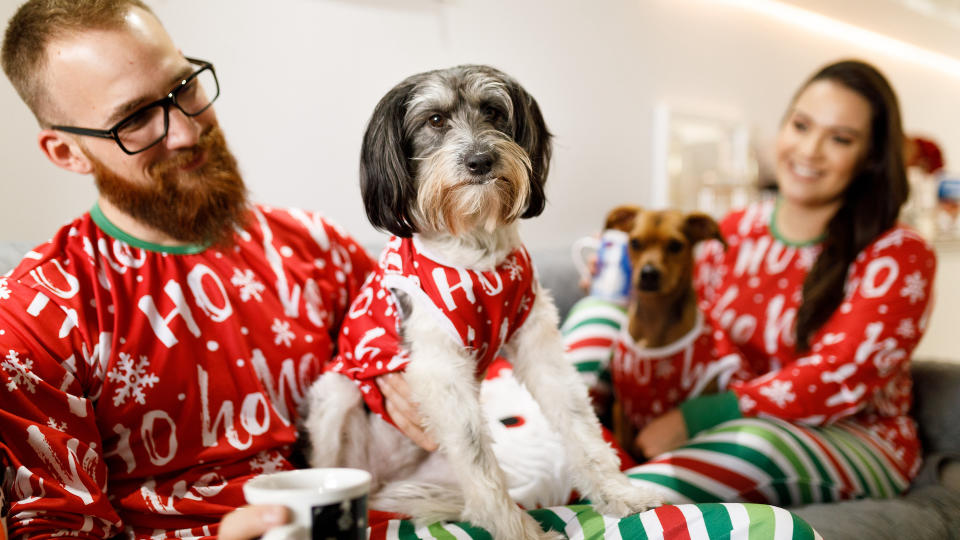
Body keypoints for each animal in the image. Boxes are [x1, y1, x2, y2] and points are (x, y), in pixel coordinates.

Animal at [306, 65, 660, 536]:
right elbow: (478, 459)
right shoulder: (440, 369)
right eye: (435, 120)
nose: (480, 161)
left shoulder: (537, 344)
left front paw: (619, 492)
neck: (475, 254)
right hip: (338, 391)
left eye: (493, 111)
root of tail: (386, 479)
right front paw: (516, 530)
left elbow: (579, 425)